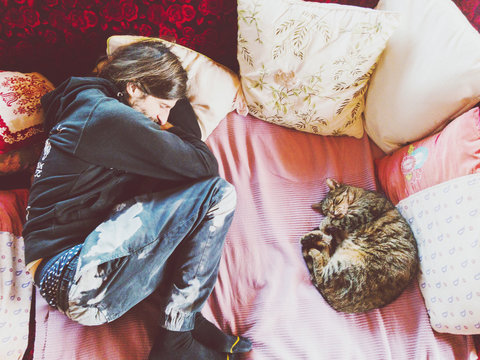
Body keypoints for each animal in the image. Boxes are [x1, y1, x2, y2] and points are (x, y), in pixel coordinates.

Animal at [302, 178, 418, 312]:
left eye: (336, 201)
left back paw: (312, 246)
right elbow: (333, 230)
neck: (358, 196)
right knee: (322, 265)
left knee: (320, 274)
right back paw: (312, 239)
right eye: (326, 211)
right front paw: (325, 229)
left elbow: (335, 222)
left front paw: (324, 225)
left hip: (344, 268)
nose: (333, 213)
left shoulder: (359, 215)